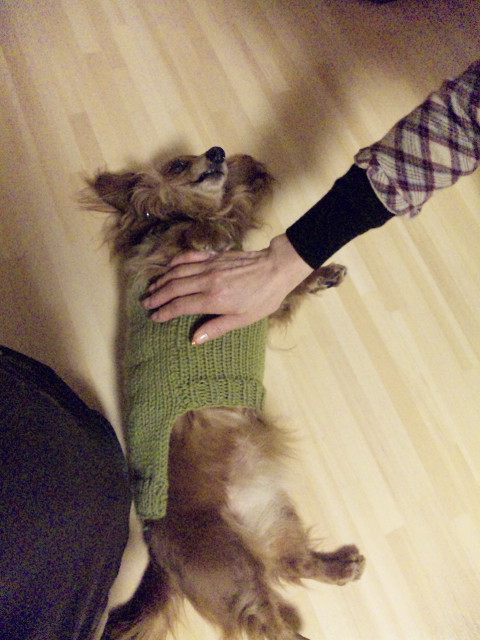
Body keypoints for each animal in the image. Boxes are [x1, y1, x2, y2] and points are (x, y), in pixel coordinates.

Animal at [84, 146, 365, 640]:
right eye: (178, 165)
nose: (216, 153)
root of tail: (158, 556)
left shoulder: (254, 298)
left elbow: (281, 282)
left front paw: (320, 273)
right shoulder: (176, 269)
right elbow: (194, 232)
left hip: (275, 517)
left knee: (294, 564)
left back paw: (340, 566)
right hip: (233, 569)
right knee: (269, 619)